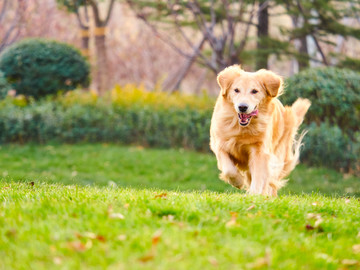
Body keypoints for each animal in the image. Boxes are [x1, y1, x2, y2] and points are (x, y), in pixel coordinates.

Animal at [210, 65, 310, 196]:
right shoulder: (220, 144)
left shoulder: (260, 150)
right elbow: (228, 170)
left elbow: (259, 175)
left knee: (270, 181)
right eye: (236, 90)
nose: (242, 107)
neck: (242, 128)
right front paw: (238, 181)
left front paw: (255, 194)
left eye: (254, 91)